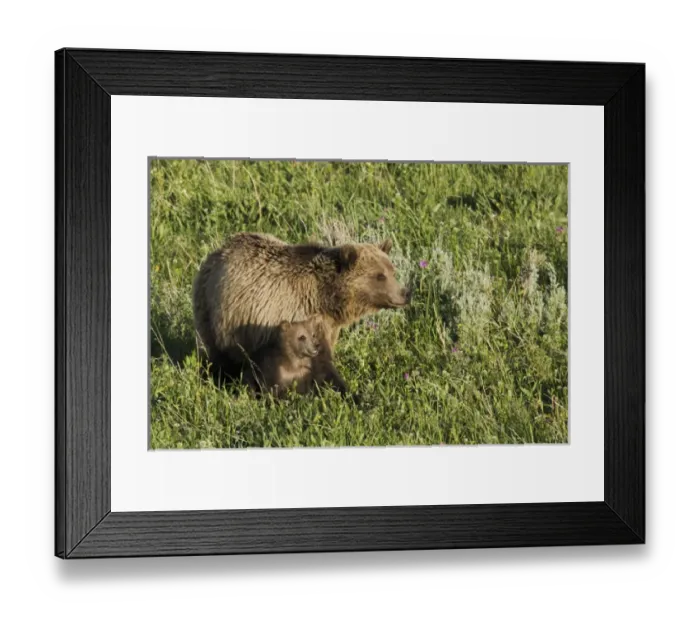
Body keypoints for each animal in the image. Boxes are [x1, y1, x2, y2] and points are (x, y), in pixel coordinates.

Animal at [193, 232, 409, 376]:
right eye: (380, 276)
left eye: (392, 271)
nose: (405, 294)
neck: (324, 296)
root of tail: (217, 253)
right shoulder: (293, 315)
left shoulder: (328, 324)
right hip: (221, 313)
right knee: (220, 354)